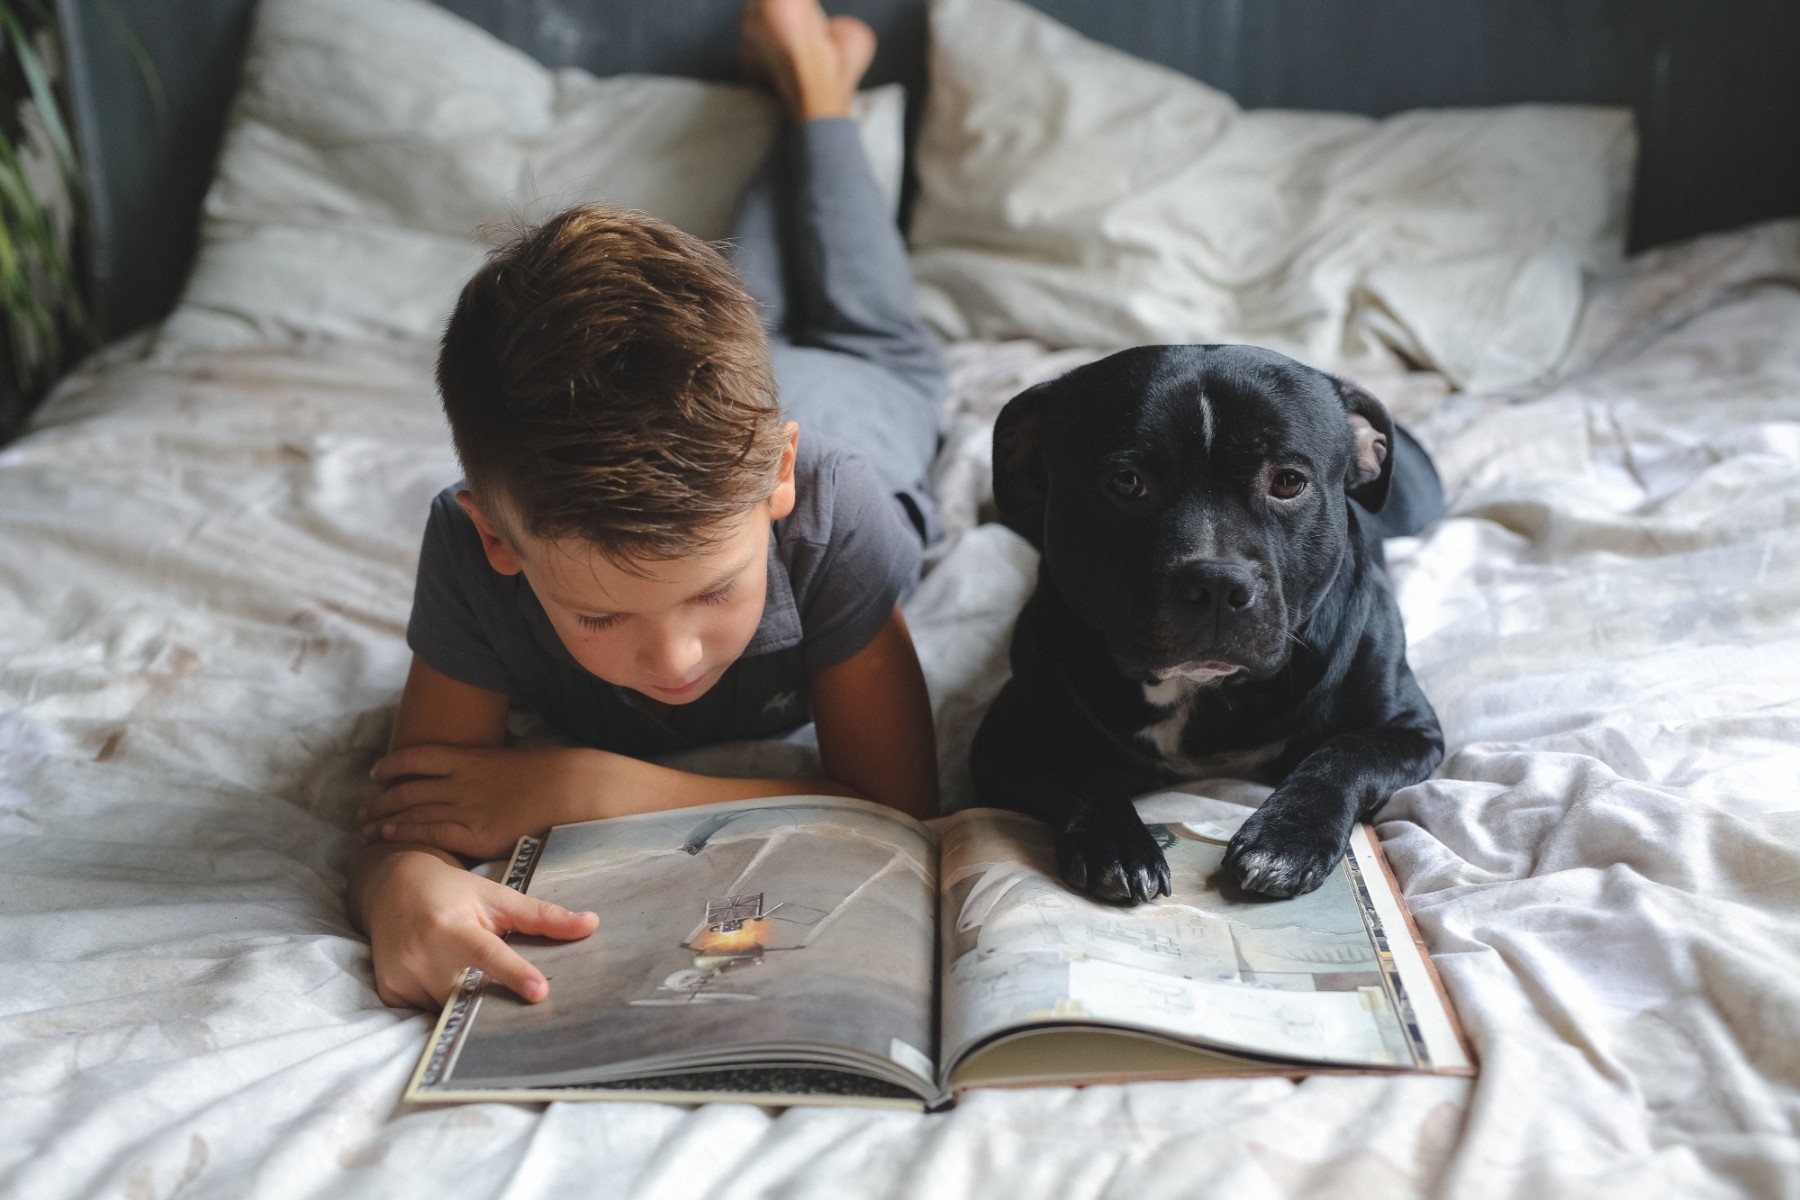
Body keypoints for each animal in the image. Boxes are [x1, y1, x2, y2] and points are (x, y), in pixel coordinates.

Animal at [972, 345, 1447, 899]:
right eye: (1126, 483)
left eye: (1288, 481)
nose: (1218, 583)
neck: (1200, 692)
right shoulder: (1008, 741)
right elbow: (1079, 769)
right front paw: (1119, 845)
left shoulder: (1409, 729)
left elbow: (1346, 753)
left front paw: (1288, 836)